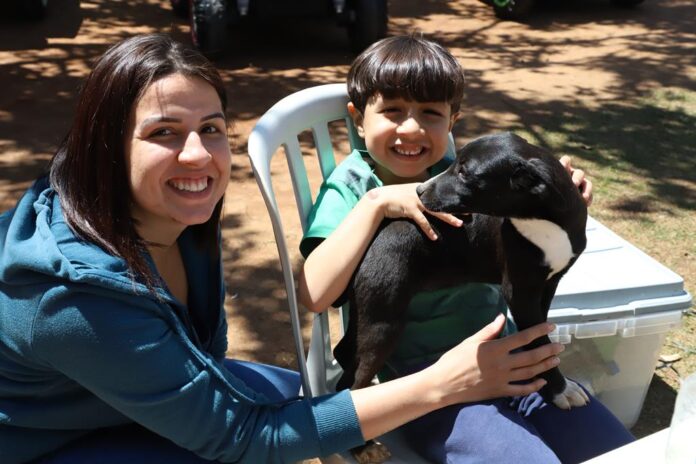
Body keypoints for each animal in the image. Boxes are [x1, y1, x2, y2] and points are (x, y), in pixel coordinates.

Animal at [334, 131, 588, 410]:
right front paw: (560, 390)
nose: (419, 190)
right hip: (382, 321)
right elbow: (537, 340)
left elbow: (538, 333)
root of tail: (370, 243)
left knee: (344, 353)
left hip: (366, 310)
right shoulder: (520, 293)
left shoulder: (547, 284)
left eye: (464, 172)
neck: (544, 222)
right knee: (356, 382)